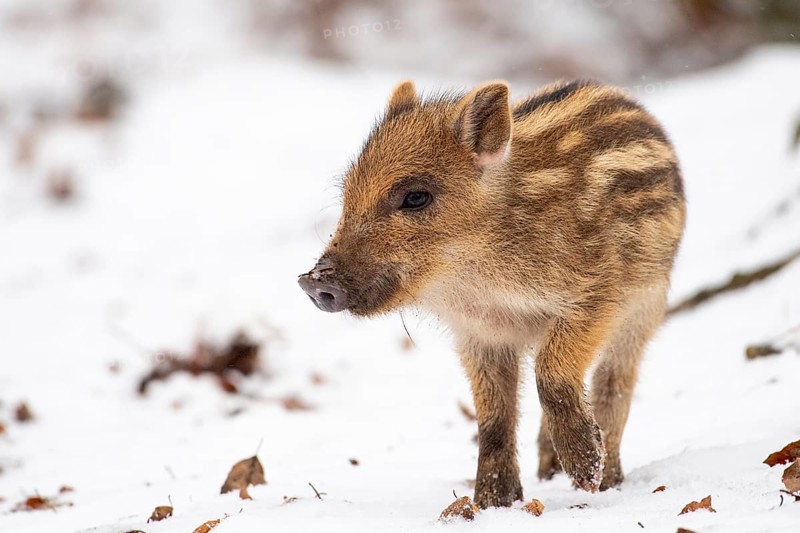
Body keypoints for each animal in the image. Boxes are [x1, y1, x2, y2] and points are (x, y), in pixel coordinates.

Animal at [298, 79, 685, 508]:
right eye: (349, 193)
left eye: (416, 196)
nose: (313, 281)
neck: (484, 276)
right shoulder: (479, 333)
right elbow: (493, 416)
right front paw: (492, 504)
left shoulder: (598, 295)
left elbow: (552, 372)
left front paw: (586, 474)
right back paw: (550, 473)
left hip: (645, 309)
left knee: (614, 384)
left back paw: (607, 481)